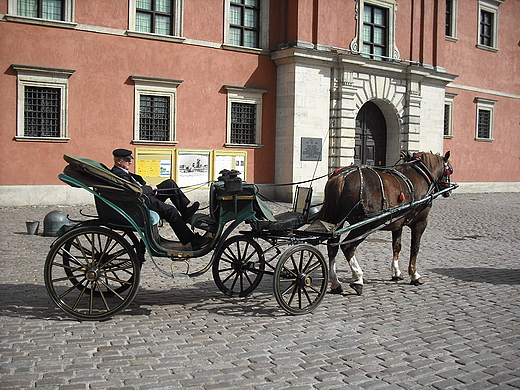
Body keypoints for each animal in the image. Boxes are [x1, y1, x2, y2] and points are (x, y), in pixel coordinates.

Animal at [314, 151, 452, 294]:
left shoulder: (398, 224)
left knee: (332, 247)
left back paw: (336, 283)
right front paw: (414, 275)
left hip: (337, 221)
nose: (448, 190)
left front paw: (396, 272)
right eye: (450, 170)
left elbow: (397, 246)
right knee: (348, 247)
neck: (421, 176)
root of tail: (342, 177)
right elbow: (415, 248)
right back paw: (358, 279)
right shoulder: (420, 223)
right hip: (364, 225)